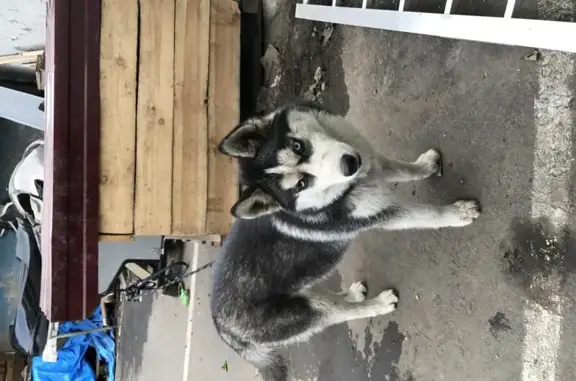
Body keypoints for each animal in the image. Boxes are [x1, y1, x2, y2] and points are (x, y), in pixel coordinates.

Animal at [209, 101, 480, 380]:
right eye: (302, 184)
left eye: (297, 146)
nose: (349, 164)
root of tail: (223, 328)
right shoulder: (380, 214)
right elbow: (426, 214)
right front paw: (457, 214)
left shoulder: (371, 161)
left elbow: (402, 169)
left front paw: (425, 165)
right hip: (304, 312)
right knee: (338, 313)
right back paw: (376, 304)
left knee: (332, 299)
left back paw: (352, 295)